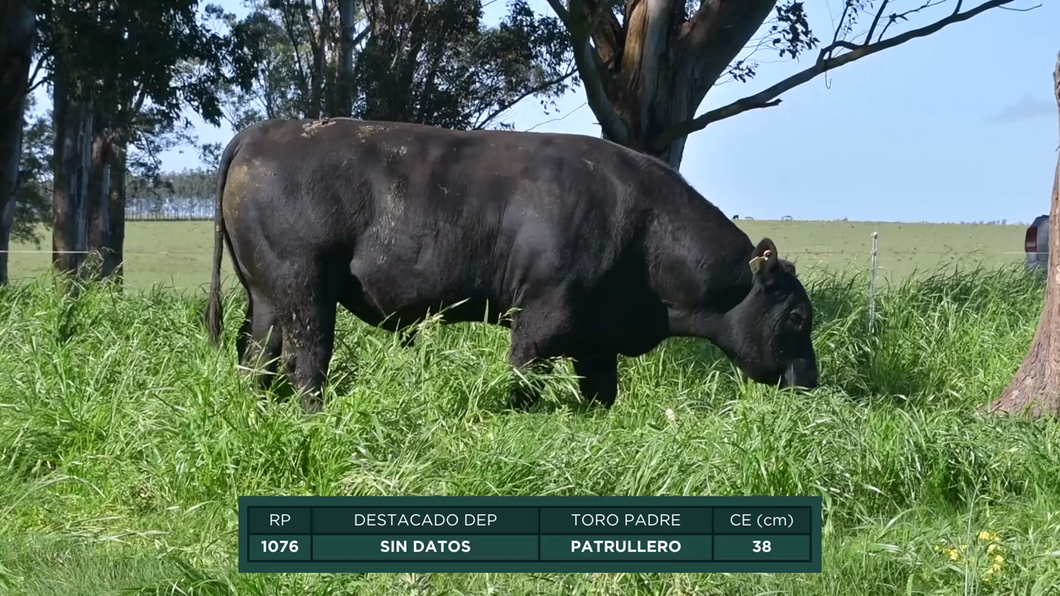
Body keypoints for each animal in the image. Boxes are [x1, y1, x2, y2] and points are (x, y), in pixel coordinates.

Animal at [206, 118, 818, 411]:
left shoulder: (595, 340)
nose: (810, 380)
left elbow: (601, 394)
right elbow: (523, 377)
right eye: (798, 318)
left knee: (258, 360)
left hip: (268, 299)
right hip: (306, 291)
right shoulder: (542, 318)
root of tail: (263, 132)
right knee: (307, 361)